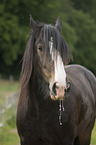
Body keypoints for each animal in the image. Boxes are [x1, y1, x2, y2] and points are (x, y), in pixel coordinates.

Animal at [16, 15, 96, 144]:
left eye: (63, 50)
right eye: (40, 48)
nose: (61, 88)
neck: (39, 110)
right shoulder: (25, 140)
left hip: (85, 135)